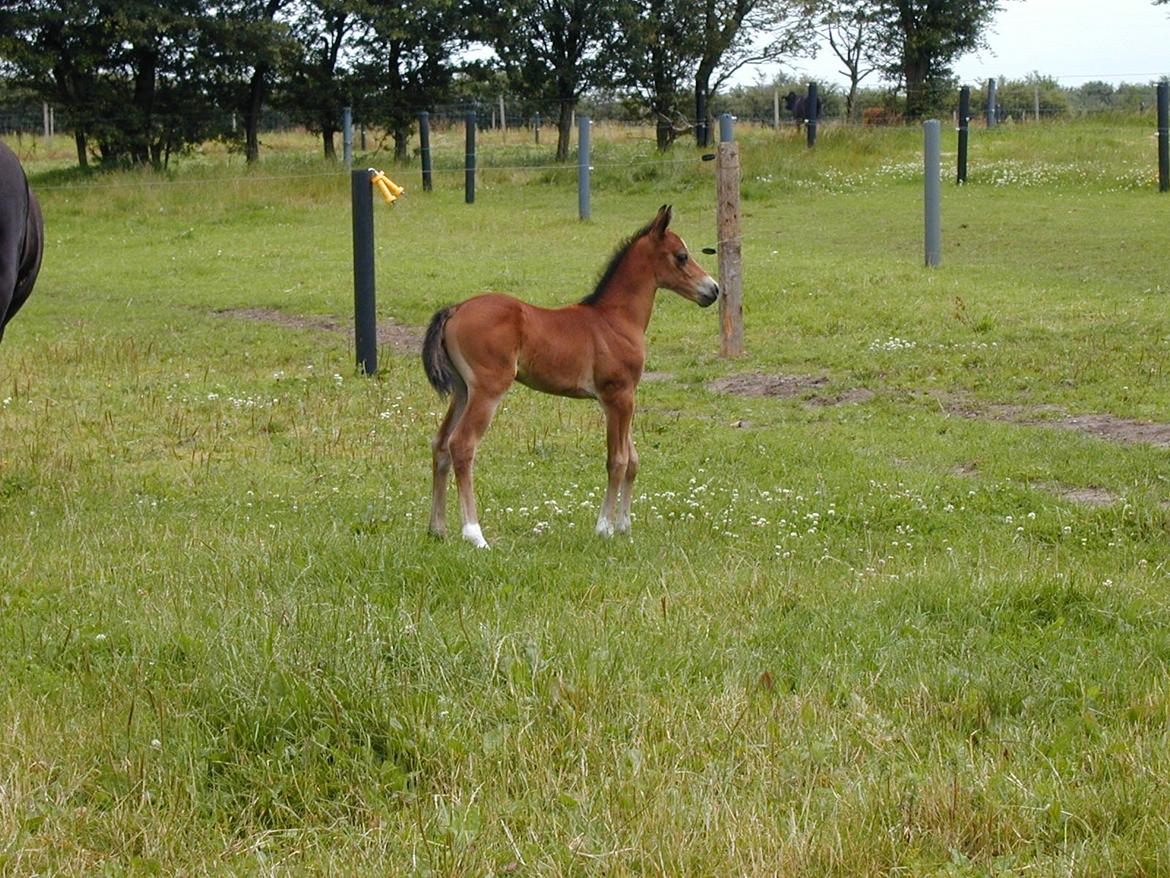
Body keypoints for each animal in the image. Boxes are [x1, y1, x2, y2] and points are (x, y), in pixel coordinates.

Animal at [421, 206, 711, 550]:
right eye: (682, 256)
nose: (713, 290)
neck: (616, 318)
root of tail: (455, 309)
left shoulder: (623, 399)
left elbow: (633, 460)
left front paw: (625, 527)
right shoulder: (618, 396)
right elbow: (617, 461)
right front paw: (604, 528)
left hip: (463, 390)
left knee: (441, 444)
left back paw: (437, 529)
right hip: (488, 390)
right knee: (462, 445)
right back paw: (474, 534)